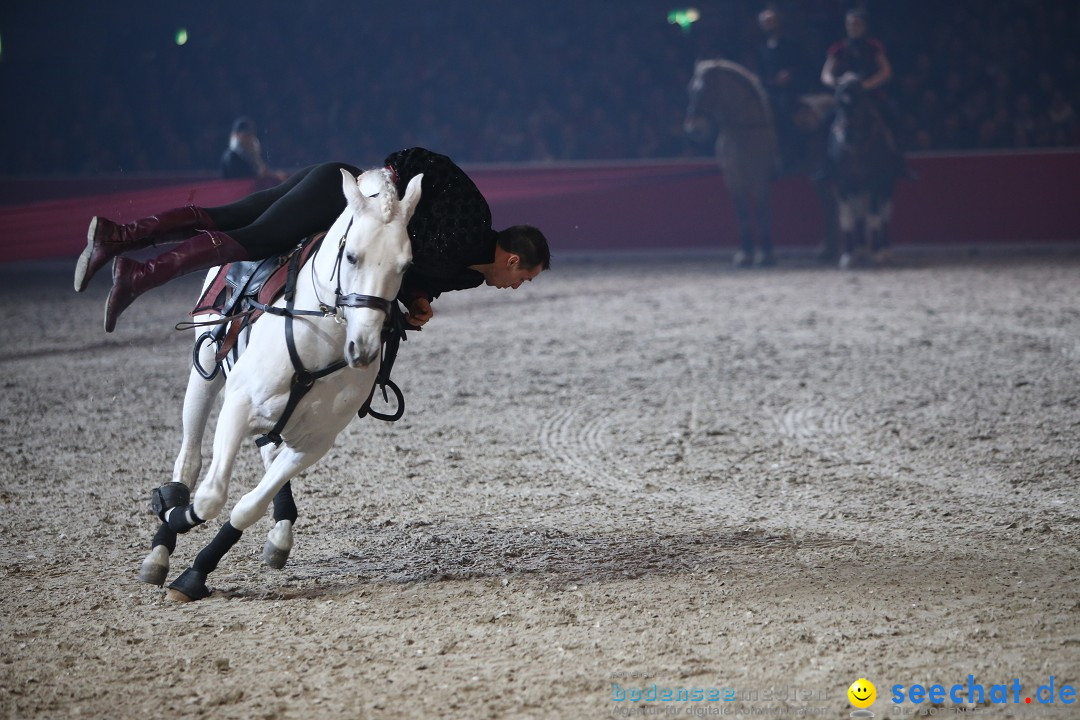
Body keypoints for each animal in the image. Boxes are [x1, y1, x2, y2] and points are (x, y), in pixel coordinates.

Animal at [136, 169, 421, 604]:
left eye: (405, 266)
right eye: (352, 256)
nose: (364, 349)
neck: (319, 337)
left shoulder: (313, 443)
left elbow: (247, 507)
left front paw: (196, 574)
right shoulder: (237, 406)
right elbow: (209, 496)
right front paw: (170, 512)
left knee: (267, 452)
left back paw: (279, 533)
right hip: (205, 367)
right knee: (189, 459)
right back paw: (161, 546)